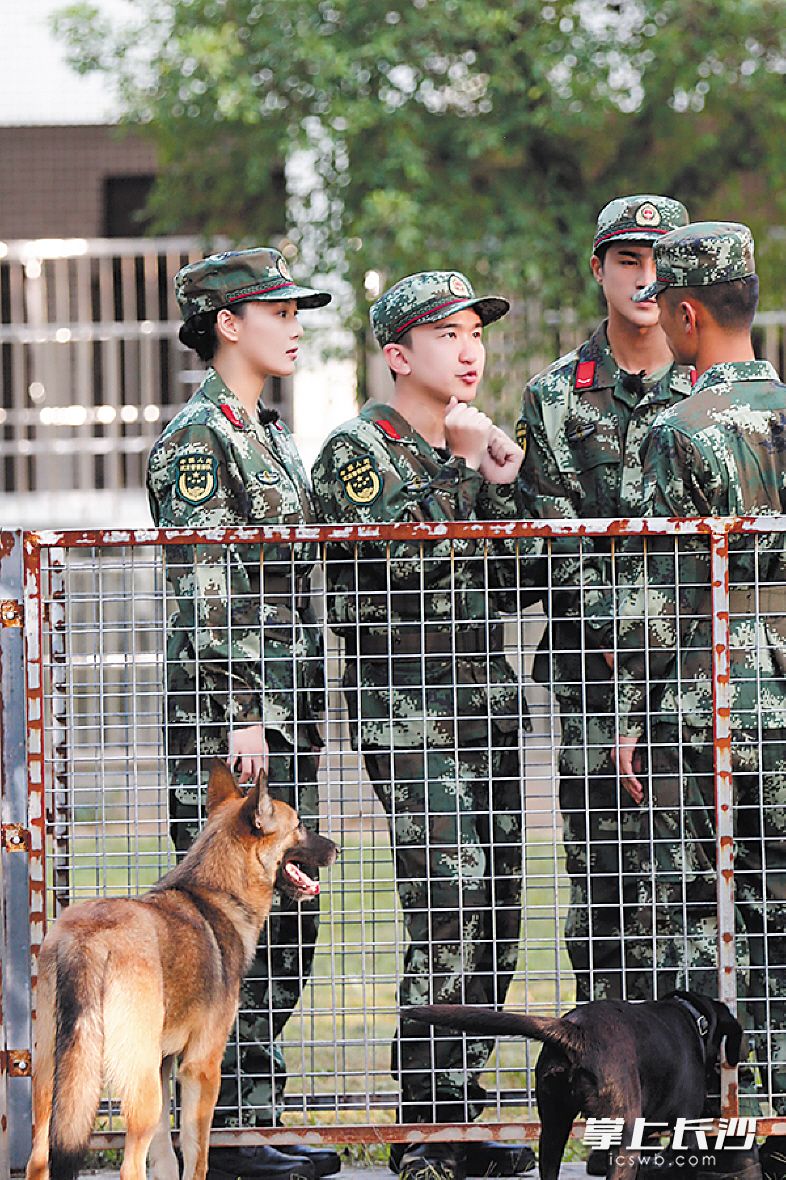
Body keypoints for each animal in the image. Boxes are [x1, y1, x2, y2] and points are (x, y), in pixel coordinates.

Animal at [23, 759, 337, 1180]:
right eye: (300, 824)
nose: (337, 848)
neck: (216, 893)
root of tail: (86, 941)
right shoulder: (202, 1068)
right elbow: (196, 1153)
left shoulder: (163, 1065)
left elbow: (166, 1155)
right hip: (138, 1091)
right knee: (130, 1167)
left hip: (52, 1084)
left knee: (38, 1159)